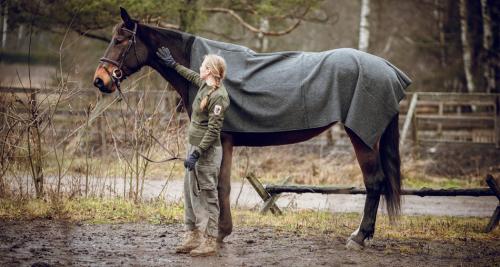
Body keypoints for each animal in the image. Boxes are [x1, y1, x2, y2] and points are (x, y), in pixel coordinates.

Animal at [93, 8, 406, 251]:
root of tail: (388, 68)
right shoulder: (227, 141)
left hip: (362, 137)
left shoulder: (221, 139)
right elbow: (224, 185)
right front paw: (221, 233)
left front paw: (219, 235)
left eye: (120, 40)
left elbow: (221, 186)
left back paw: (358, 237)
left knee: (374, 183)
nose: (99, 80)